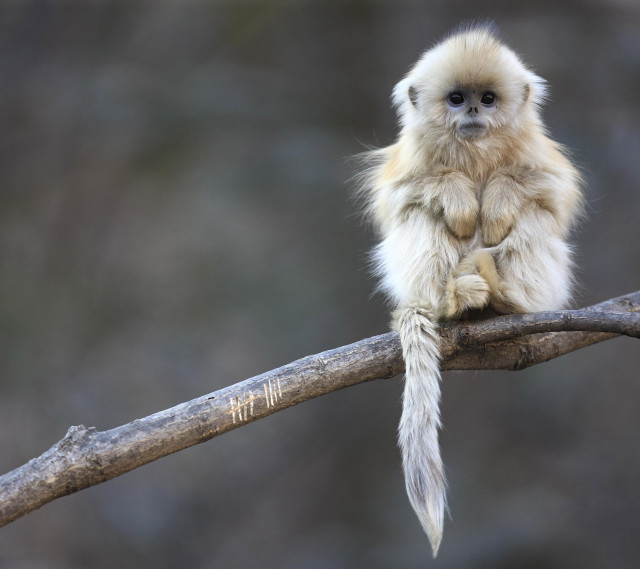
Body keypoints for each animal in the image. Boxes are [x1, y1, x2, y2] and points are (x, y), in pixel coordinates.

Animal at [358, 23, 583, 556]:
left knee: (534, 215)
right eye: (457, 99)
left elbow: (552, 192)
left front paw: (497, 201)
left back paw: (504, 296)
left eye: (488, 98)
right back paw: (454, 299)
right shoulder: (410, 161)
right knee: (421, 215)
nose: (474, 113)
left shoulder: (538, 155)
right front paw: (460, 198)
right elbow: (402, 197)